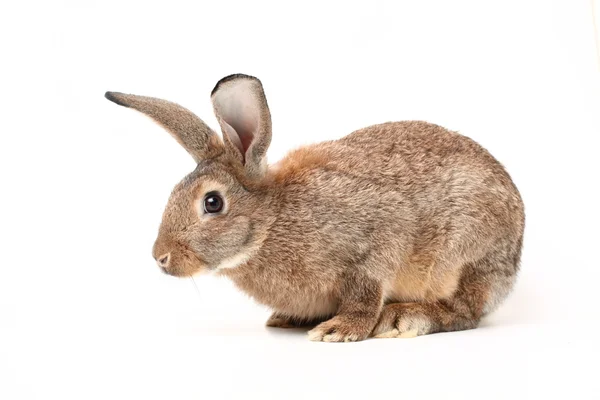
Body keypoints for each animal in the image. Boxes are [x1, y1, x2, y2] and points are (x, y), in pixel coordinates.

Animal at [105, 73, 524, 342]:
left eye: (212, 202)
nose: (161, 257)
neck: (271, 223)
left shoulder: (375, 240)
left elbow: (364, 289)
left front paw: (339, 330)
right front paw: (288, 319)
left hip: (463, 254)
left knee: (465, 311)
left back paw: (406, 317)